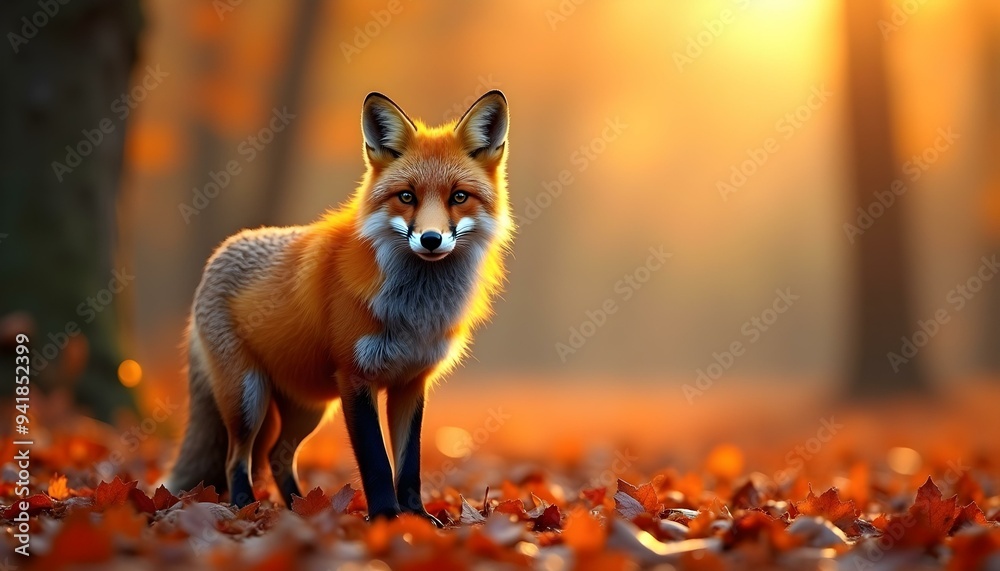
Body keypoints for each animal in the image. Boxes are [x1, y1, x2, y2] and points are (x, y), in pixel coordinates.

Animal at [165, 91, 513, 524]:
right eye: (407, 196)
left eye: (459, 197)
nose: (431, 239)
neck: (415, 308)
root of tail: (220, 252)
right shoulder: (355, 377)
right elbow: (376, 461)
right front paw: (386, 517)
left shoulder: (411, 383)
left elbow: (409, 464)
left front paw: (417, 517)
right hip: (248, 397)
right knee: (237, 457)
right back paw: (245, 505)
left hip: (308, 407)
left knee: (276, 455)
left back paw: (301, 508)